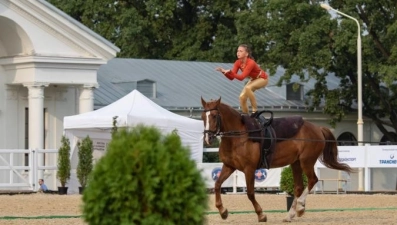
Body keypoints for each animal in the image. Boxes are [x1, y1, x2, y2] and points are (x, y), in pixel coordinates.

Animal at [200, 97, 352, 222]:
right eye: (202, 117)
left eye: (214, 116)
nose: (208, 138)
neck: (239, 137)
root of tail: (317, 128)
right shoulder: (229, 166)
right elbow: (217, 185)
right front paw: (223, 211)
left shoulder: (249, 169)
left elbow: (250, 193)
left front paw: (261, 215)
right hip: (296, 163)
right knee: (298, 187)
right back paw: (290, 215)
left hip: (306, 161)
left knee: (312, 180)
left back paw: (300, 207)